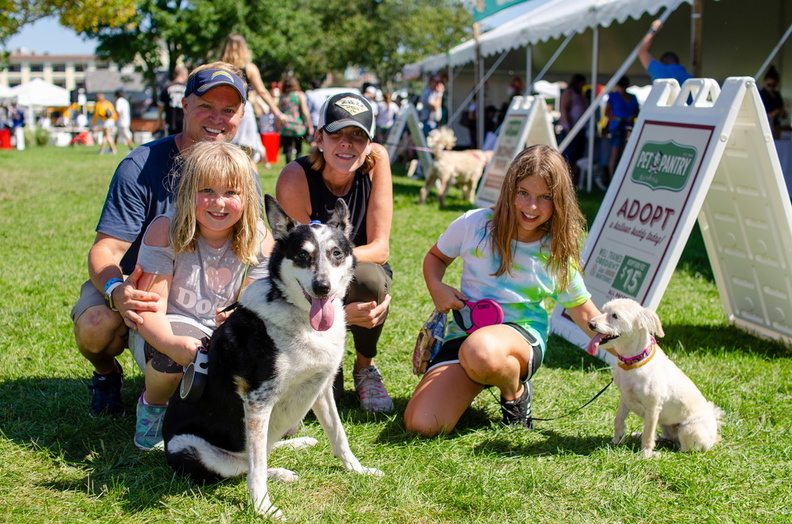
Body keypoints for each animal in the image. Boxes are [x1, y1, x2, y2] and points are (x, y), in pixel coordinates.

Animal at [163, 194, 380, 516]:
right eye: (301, 255)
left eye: (336, 253)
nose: (322, 287)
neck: (301, 319)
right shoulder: (257, 402)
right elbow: (256, 468)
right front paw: (262, 507)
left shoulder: (321, 388)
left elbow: (338, 435)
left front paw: (358, 469)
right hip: (190, 446)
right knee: (244, 465)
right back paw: (277, 471)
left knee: (262, 451)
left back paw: (297, 446)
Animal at [584, 298, 720, 458]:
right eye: (603, 311)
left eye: (615, 316)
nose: (590, 323)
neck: (633, 362)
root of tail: (714, 437)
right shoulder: (625, 399)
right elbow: (618, 420)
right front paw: (615, 442)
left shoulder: (653, 409)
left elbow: (649, 434)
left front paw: (645, 455)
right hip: (665, 424)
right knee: (668, 438)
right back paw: (642, 436)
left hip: (688, 430)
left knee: (682, 449)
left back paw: (660, 453)